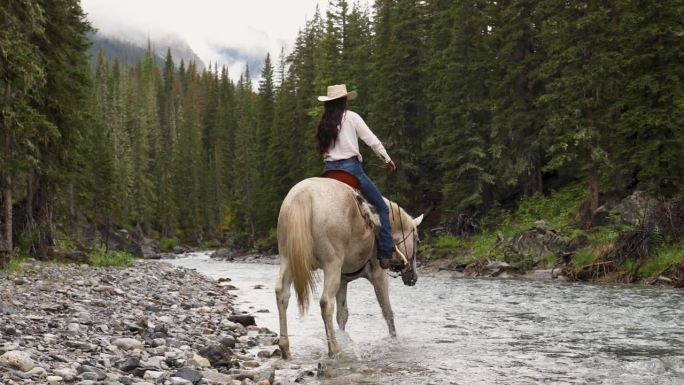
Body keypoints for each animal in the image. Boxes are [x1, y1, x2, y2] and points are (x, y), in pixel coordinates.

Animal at [274, 176, 422, 356]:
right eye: (417, 240)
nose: (413, 277)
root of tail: (303, 195)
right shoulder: (378, 274)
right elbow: (387, 310)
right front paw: (394, 341)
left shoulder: (343, 280)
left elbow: (342, 315)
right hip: (331, 264)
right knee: (326, 302)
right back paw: (334, 349)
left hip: (288, 260)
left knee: (282, 294)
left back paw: (285, 347)